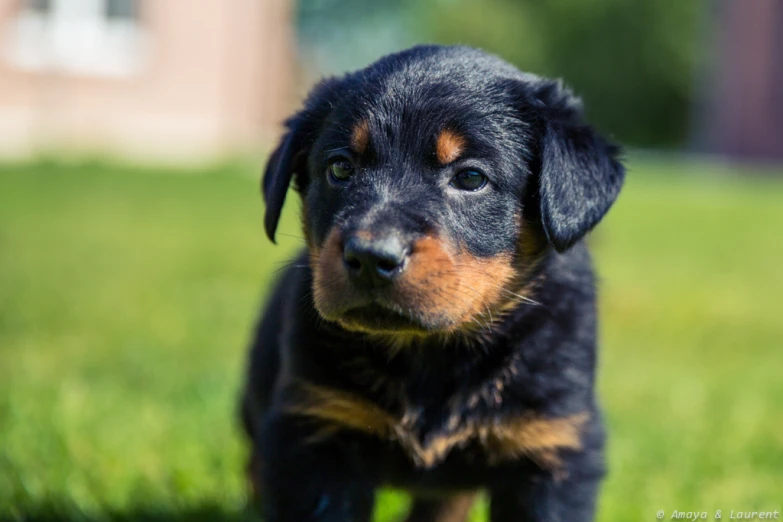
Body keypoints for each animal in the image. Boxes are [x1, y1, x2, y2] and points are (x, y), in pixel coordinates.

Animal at [239, 45, 624, 520]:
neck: (431, 355)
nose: (371, 257)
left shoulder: (551, 445)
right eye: (340, 168)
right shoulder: (315, 432)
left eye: (471, 177)